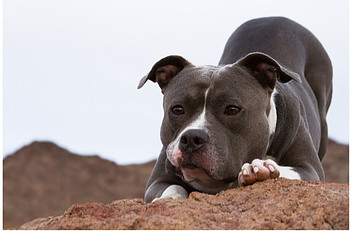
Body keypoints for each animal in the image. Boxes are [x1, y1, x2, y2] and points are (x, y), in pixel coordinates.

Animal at [138, 17, 332, 203]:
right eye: (177, 109)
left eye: (232, 109)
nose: (192, 138)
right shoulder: (158, 179)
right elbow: (172, 187)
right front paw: (169, 199)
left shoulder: (309, 169)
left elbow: (292, 170)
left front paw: (259, 169)